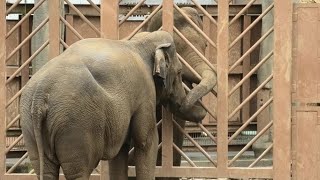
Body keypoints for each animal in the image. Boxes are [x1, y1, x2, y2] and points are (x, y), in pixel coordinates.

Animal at [20, 31, 206, 180]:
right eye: (180, 72)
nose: (203, 114)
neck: (138, 42)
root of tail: (40, 94)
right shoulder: (144, 92)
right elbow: (146, 141)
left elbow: (120, 151)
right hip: (75, 123)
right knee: (79, 171)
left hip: (30, 123)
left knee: (45, 170)